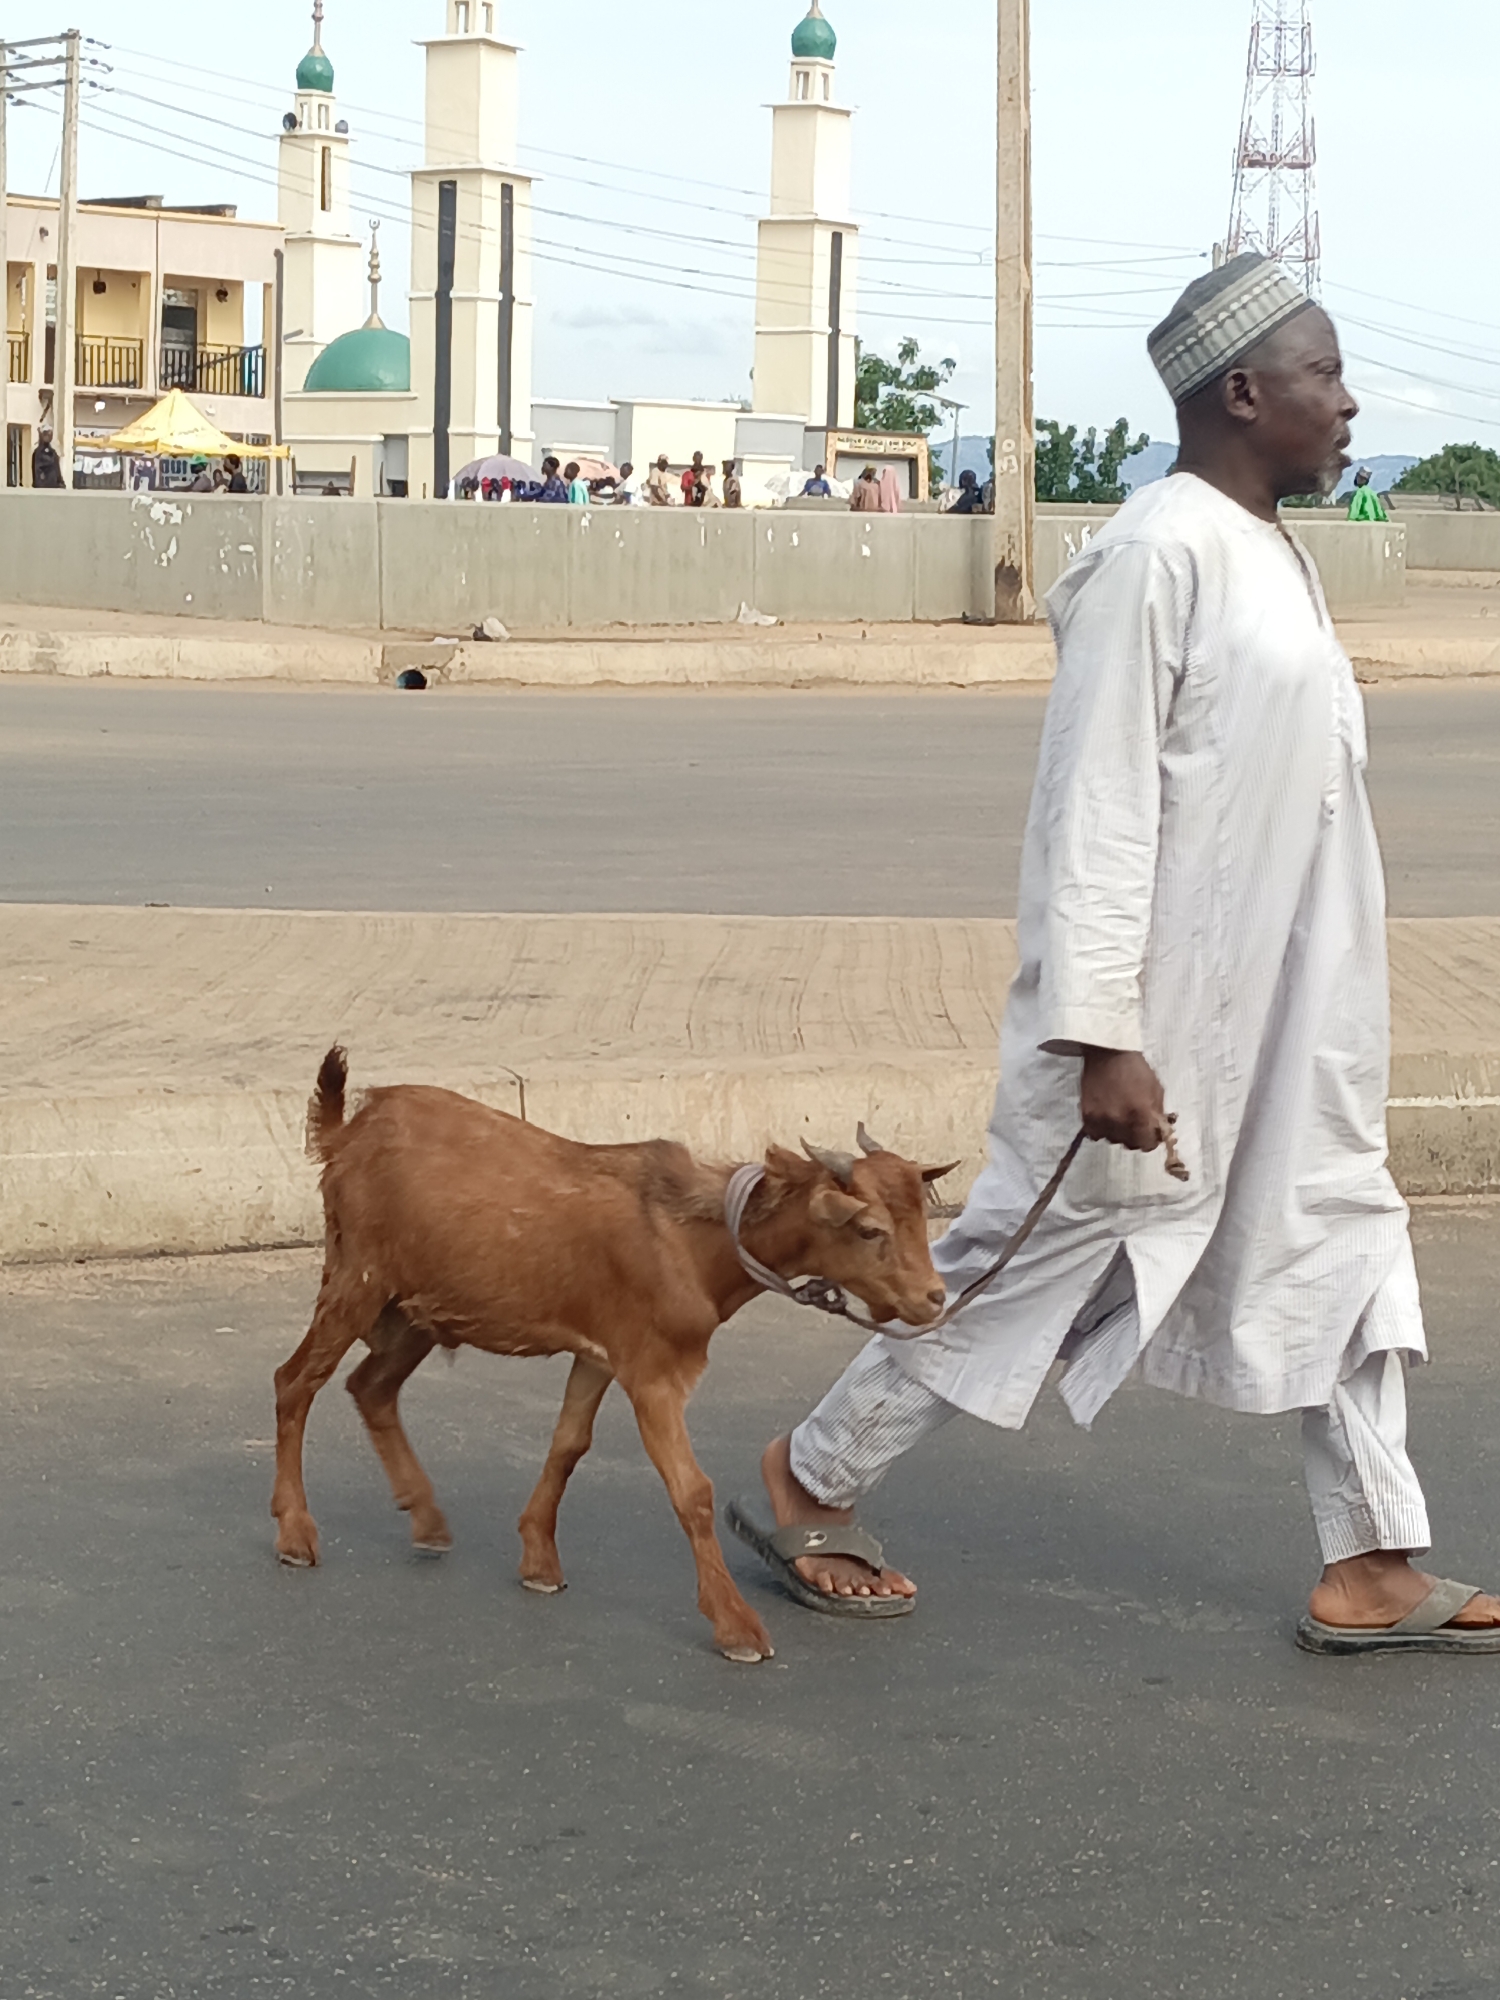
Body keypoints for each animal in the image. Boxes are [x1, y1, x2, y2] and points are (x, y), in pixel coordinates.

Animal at [271, 1047, 956, 1662]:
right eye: (870, 1230)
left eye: (921, 1220)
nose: (934, 1298)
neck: (694, 1242)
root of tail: (346, 1131)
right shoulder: (652, 1370)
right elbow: (692, 1491)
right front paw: (736, 1626)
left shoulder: (601, 1353)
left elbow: (569, 1445)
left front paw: (539, 1559)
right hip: (359, 1275)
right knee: (295, 1381)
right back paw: (295, 1532)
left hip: (419, 1304)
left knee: (370, 1385)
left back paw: (427, 1518)